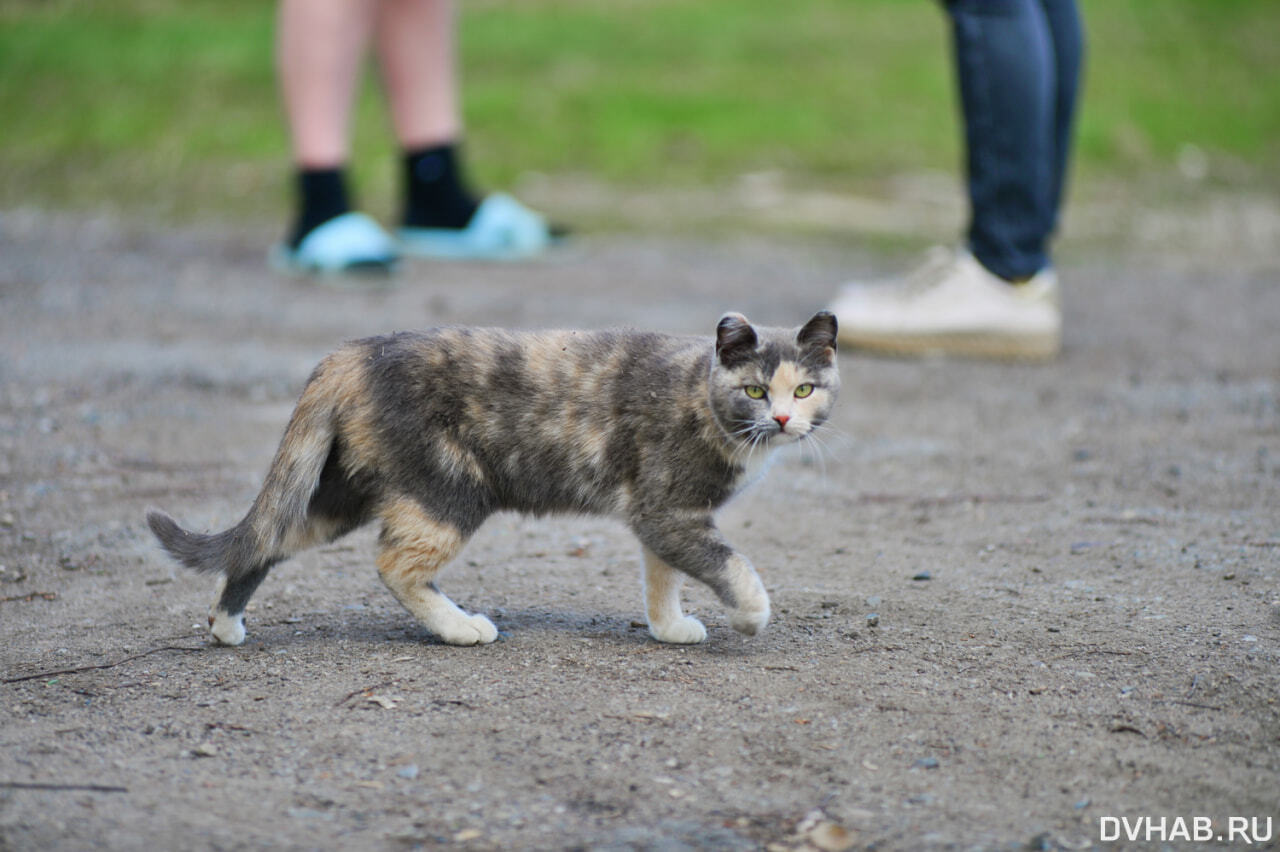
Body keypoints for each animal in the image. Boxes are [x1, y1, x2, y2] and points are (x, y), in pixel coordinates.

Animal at [147, 310, 839, 644]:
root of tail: (353, 353)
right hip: (449, 490)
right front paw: (750, 617)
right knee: (394, 565)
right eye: (755, 389)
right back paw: (461, 628)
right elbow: (732, 565)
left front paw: (668, 628)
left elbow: (663, 577)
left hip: (339, 492)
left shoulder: (664, 517)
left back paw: (225, 626)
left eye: (805, 388)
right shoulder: (669, 510)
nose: (783, 418)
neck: (699, 394)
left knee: (266, 539)